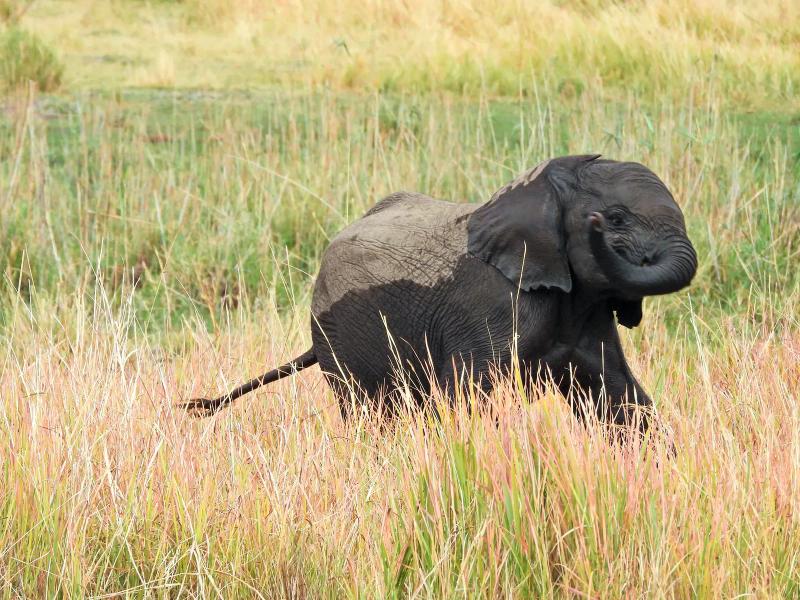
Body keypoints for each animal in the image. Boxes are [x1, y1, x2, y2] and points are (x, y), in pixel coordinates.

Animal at [184, 154, 697, 433]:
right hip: (339, 338)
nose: (594, 225)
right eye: (615, 219)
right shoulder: (490, 313)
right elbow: (466, 403)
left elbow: (623, 401)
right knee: (369, 415)